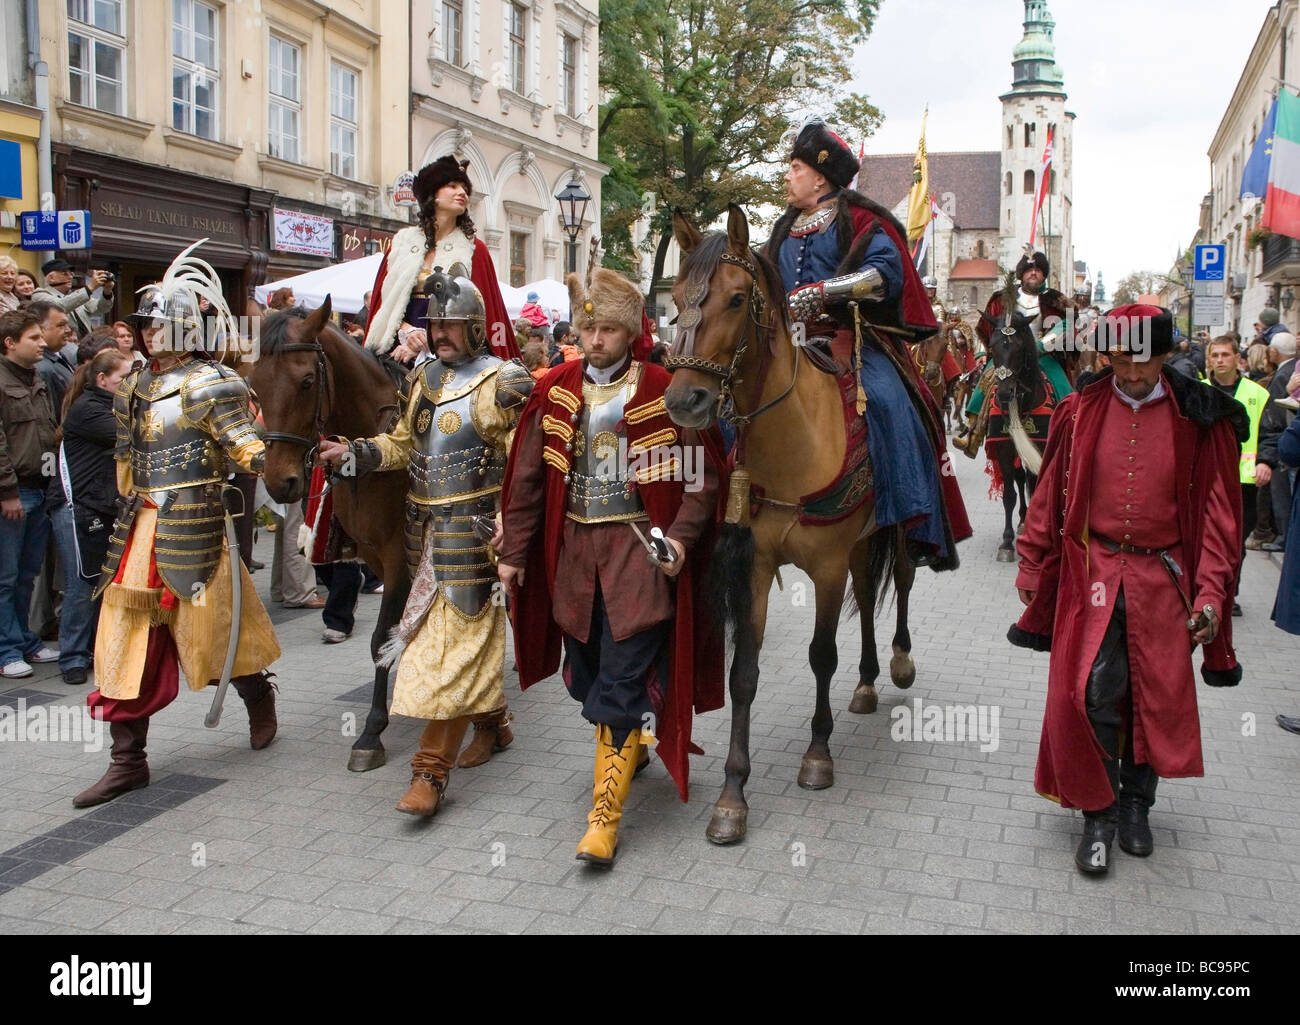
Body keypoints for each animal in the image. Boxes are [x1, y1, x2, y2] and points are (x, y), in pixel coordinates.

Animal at [243, 300, 405, 775]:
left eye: (306, 381)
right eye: (255, 386)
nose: (279, 482)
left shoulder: (399, 557)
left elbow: (381, 638)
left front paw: (370, 733)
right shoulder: (376, 555)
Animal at [665, 204, 920, 842]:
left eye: (736, 299)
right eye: (675, 297)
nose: (684, 401)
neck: (794, 441)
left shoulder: (825, 566)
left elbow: (821, 654)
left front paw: (817, 756)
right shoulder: (757, 566)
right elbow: (744, 673)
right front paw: (732, 796)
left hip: (899, 528)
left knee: (901, 582)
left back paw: (898, 662)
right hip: (860, 545)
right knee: (867, 588)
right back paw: (866, 681)